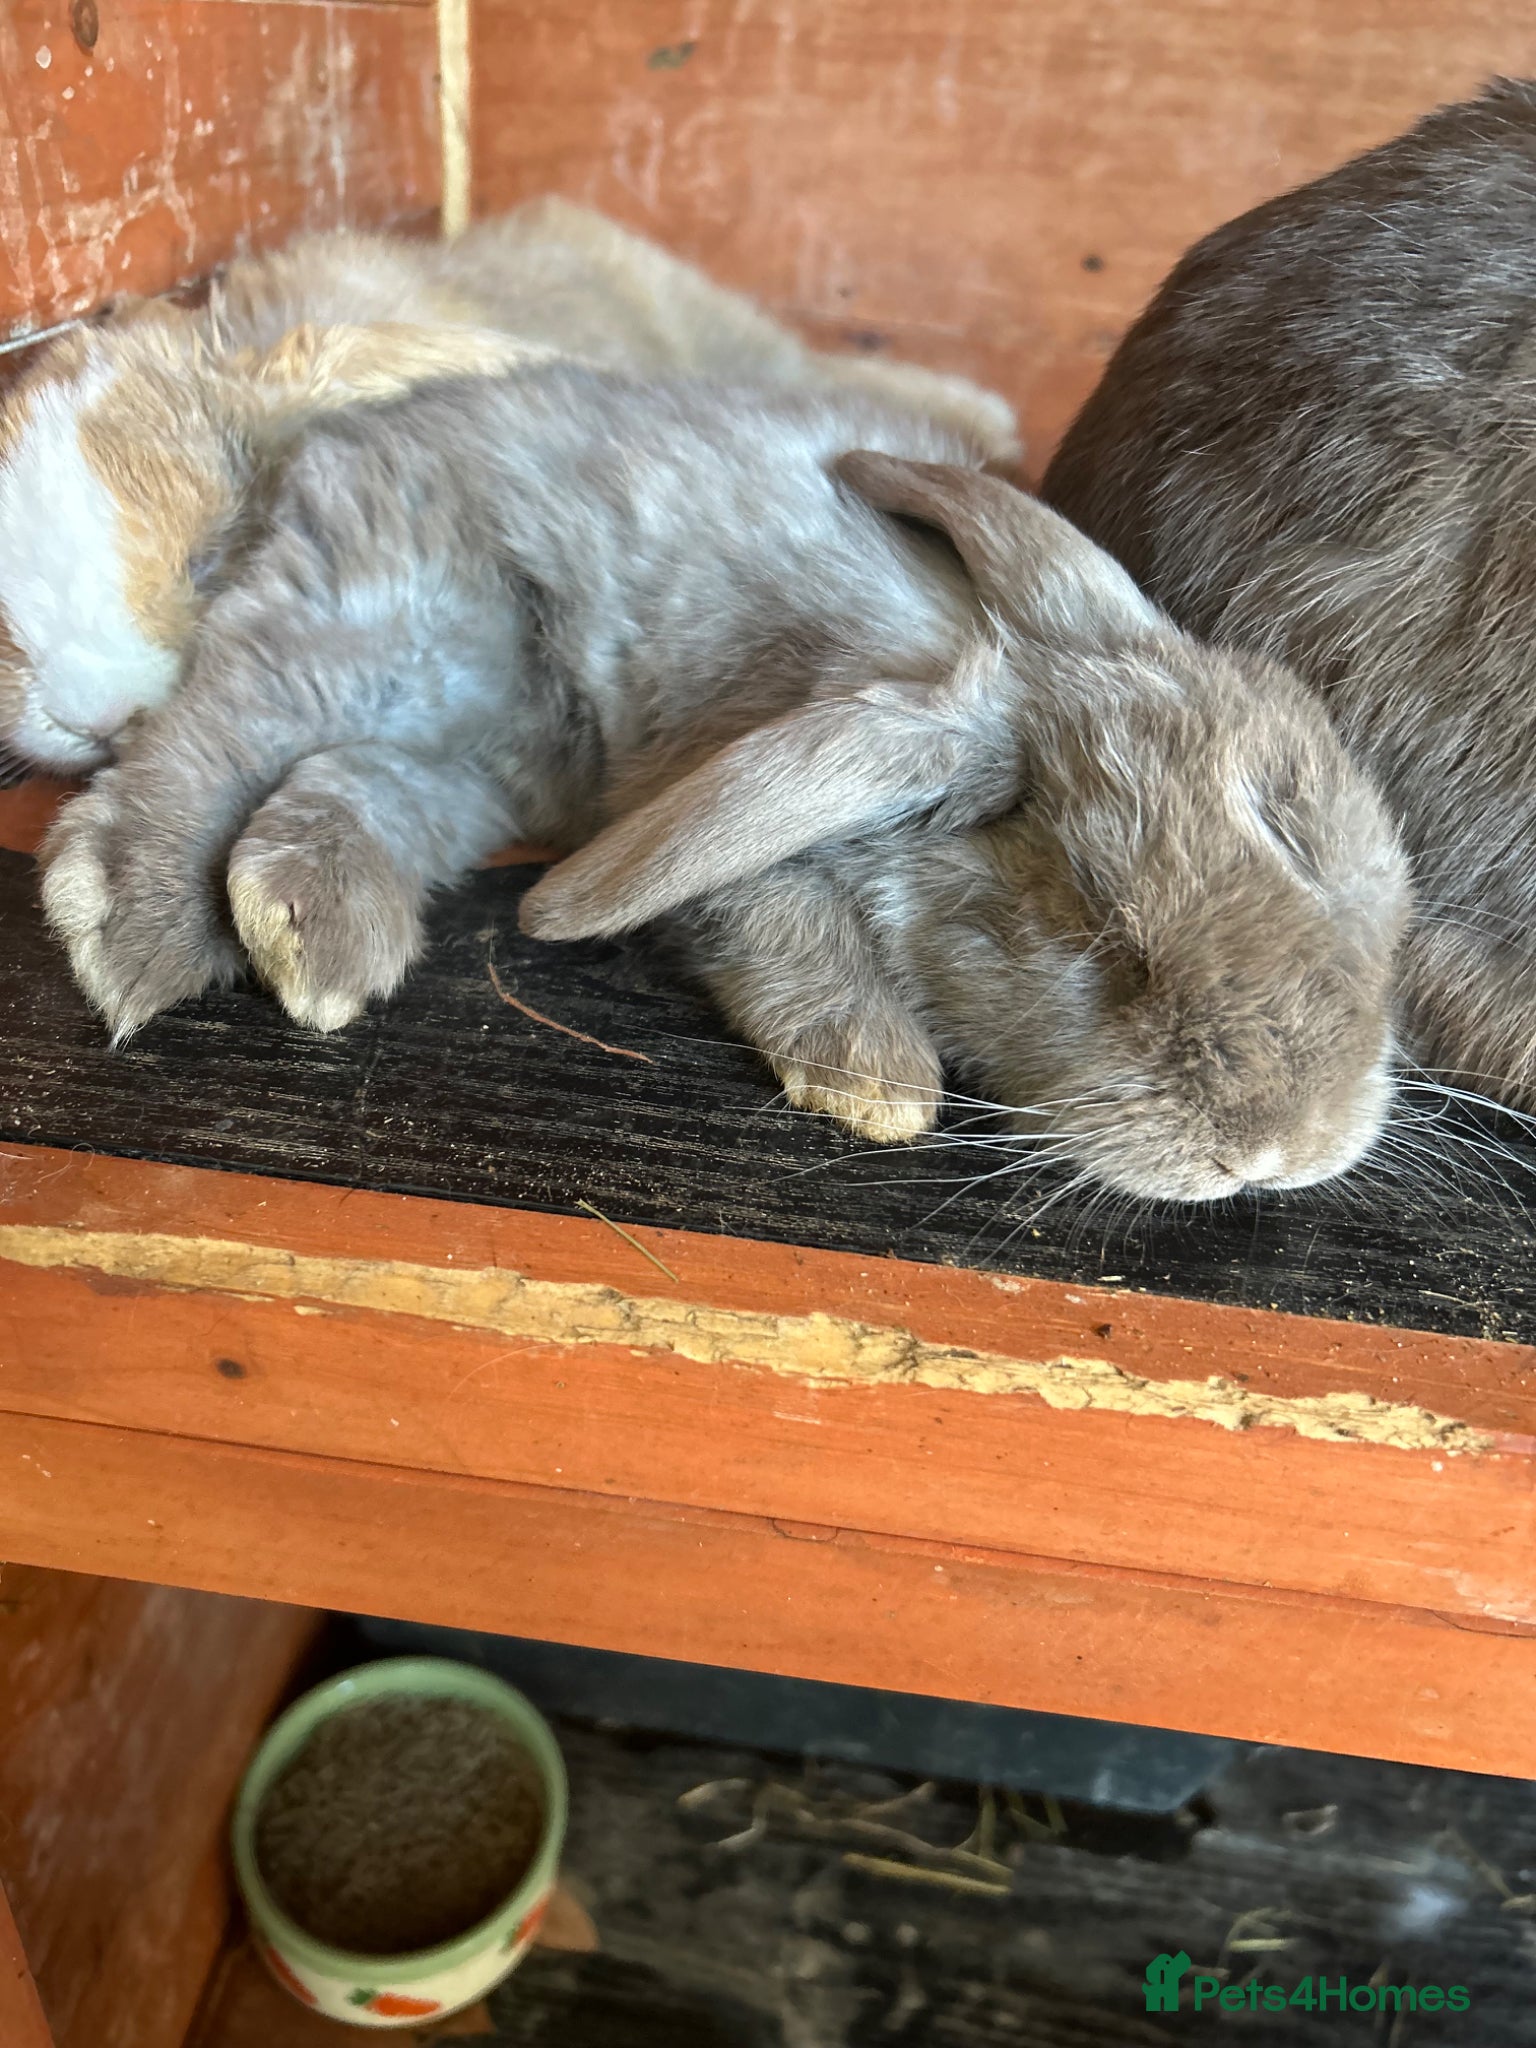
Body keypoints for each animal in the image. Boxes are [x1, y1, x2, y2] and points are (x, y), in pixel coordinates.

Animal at [39, 361, 1408, 1203]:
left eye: (1379, 927)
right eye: (1106, 937)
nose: (1281, 1146)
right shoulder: (727, 787)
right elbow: (771, 917)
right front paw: (876, 1079)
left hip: (478, 746)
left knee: (349, 773)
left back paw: (316, 929)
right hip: (379, 620)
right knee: (221, 721)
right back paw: (135, 925)